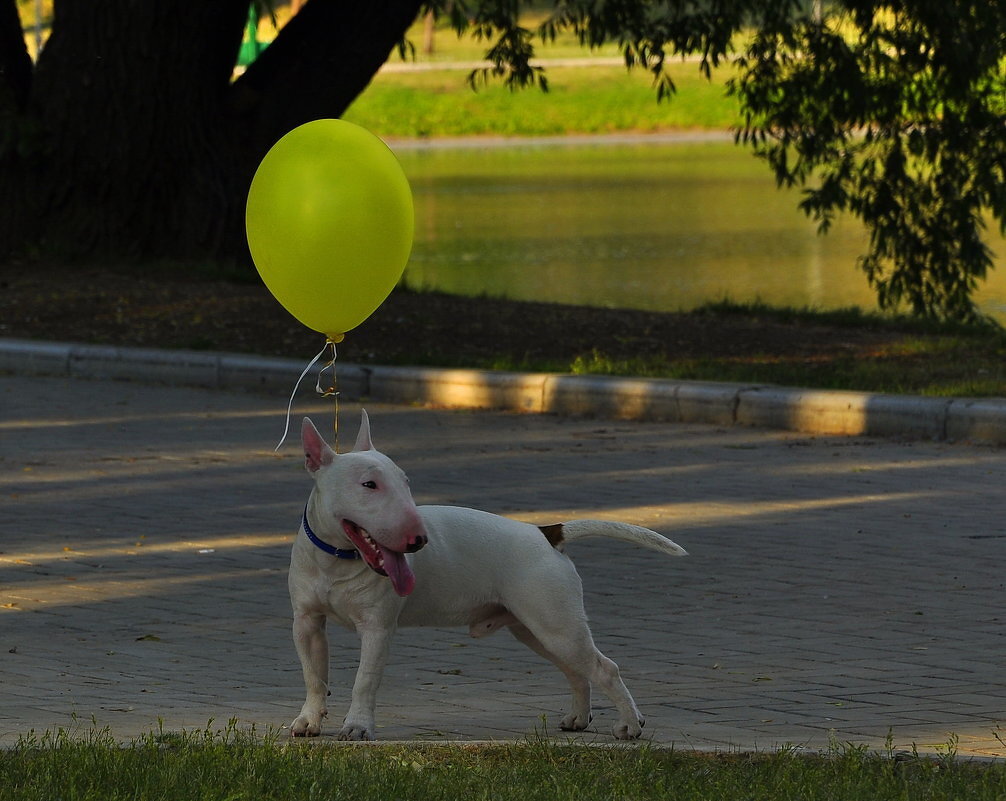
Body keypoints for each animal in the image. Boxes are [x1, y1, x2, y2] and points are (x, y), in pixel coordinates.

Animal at [287, 410, 688, 740]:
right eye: (369, 484)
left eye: (405, 481)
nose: (419, 540)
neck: (337, 560)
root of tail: (545, 533)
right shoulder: (307, 623)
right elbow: (312, 676)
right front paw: (309, 721)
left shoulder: (377, 628)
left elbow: (364, 680)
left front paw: (357, 727)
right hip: (535, 629)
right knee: (577, 670)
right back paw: (578, 718)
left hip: (557, 625)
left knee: (605, 668)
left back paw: (630, 725)